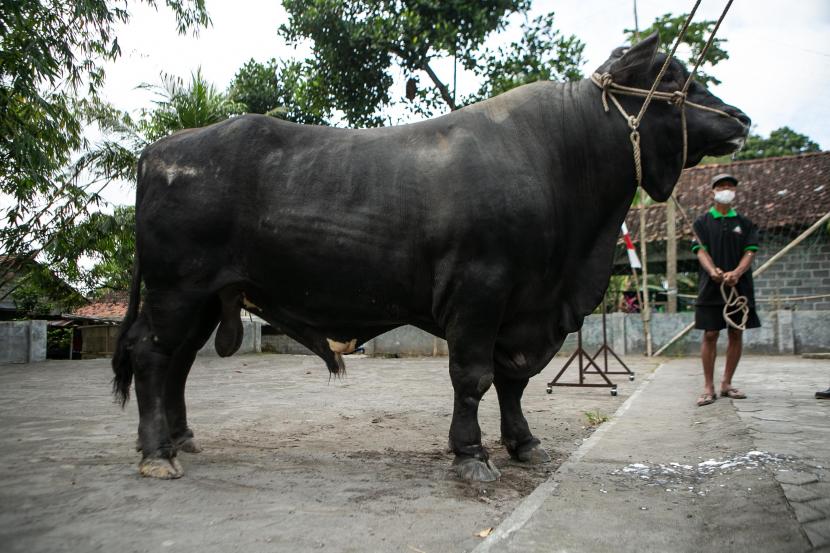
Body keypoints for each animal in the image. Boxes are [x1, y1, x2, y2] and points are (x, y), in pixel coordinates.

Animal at [112, 36, 752, 480]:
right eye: (673, 77)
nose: (741, 117)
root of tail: (161, 150)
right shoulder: (481, 291)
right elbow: (472, 376)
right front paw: (470, 455)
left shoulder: (521, 306)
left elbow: (512, 381)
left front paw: (523, 443)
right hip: (178, 289)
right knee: (152, 355)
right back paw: (157, 453)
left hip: (203, 298)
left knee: (178, 363)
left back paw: (180, 438)